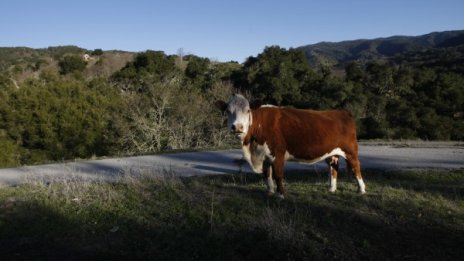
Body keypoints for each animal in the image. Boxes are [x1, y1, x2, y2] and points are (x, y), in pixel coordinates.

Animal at [217, 94, 366, 198]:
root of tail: (341, 112)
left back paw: (361, 189)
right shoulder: (264, 155)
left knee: (356, 167)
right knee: (333, 167)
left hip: (350, 150)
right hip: (332, 152)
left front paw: (280, 194)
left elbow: (278, 174)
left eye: (248, 110)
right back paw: (331, 189)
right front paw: (269, 192)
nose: (237, 127)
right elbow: (266, 174)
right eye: (228, 111)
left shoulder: (278, 153)